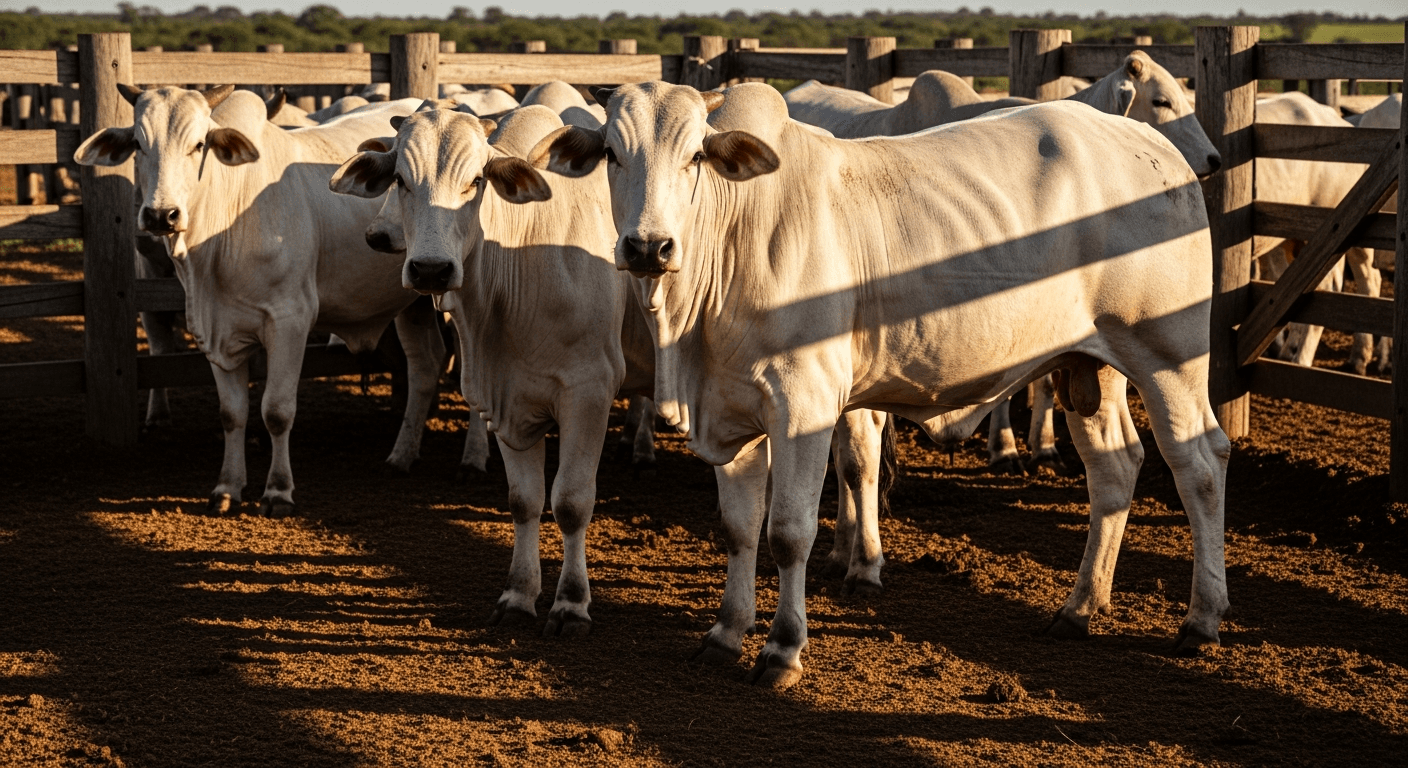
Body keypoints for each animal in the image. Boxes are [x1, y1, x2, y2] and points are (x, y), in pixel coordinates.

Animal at [74, 85, 443, 516]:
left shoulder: (290, 323)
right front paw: (227, 488)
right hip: (415, 304)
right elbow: (232, 414)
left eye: (198, 144)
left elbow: (277, 411)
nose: (161, 215)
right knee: (425, 368)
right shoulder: (215, 331)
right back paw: (402, 455)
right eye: (137, 143)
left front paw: (278, 492)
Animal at [330, 102, 654, 635]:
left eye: (476, 180)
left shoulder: (589, 391)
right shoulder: (507, 400)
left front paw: (571, 604)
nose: (431, 270)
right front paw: (518, 596)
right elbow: (524, 500)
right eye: (399, 179)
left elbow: (571, 502)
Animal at [533, 81, 1229, 687]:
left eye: (696, 155)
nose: (648, 247)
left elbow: (789, 531)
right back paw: (1080, 607)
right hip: (1086, 366)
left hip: (1170, 355)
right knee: (1116, 466)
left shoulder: (804, 406)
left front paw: (783, 650)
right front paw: (726, 634)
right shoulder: (729, 411)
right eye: (612, 155)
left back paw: (1201, 620)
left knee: (1198, 463)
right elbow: (738, 528)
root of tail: (1158, 147)